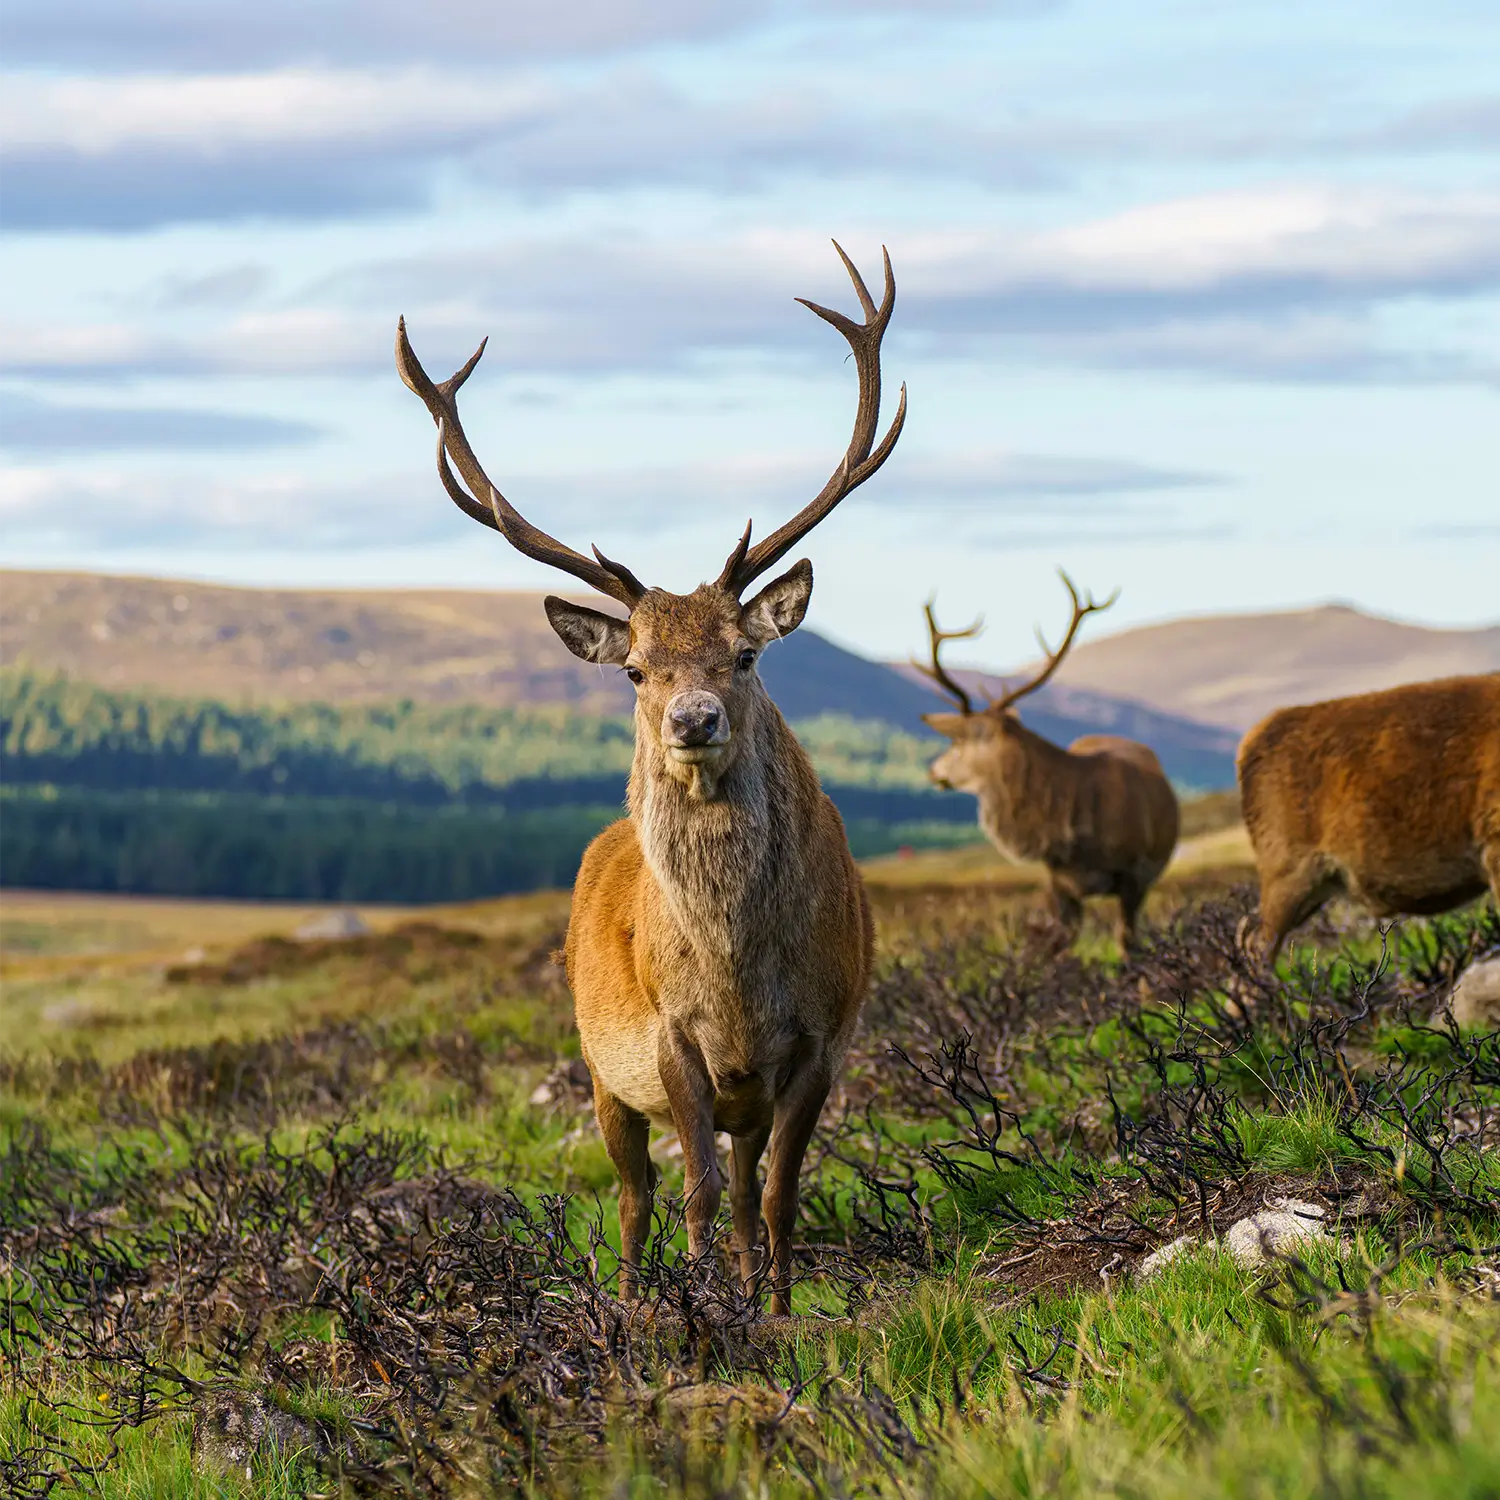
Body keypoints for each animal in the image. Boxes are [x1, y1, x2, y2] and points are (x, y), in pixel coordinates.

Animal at [395, 243, 905, 1315]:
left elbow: (780, 1193)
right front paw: (699, 1306)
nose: (694, 720)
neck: (739, 973)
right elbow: (695, 1194)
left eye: (745, 654)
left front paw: (776, 1310)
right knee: (634, 1200)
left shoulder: (825, 1035)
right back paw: (631, 1300)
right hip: (597, 1066)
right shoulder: (669, 1041)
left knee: (748, 1185)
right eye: (635, 668)